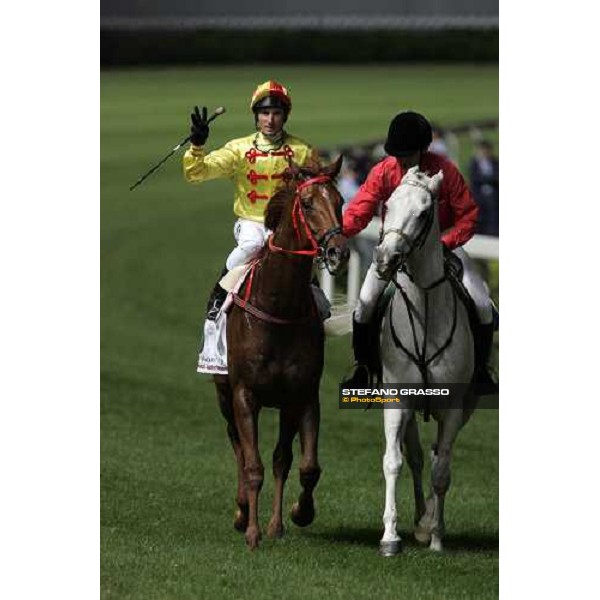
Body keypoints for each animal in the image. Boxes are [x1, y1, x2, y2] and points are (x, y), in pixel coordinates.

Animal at [216, 157, 346, 552]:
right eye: (307, 203)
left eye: (341, 201)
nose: (338, 251)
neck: (279, 308)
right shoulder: (245, 394)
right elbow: (253, 465)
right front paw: (253, 531)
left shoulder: (301, 395)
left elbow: (299, 465)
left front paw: (292, 516)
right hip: (224, 395)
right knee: (237, 446)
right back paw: (242, 511)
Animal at [376, 165, 478, 556]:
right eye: (387, 205)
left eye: (423, 212)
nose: (384, 259)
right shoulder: (396, 399)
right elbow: (393, 461)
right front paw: (390, 537)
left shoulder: (452, 407)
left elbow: (442, 472)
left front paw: (436, 537)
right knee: (418, 456)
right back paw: (419, 520)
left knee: (438, 459)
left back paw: (429, 523)